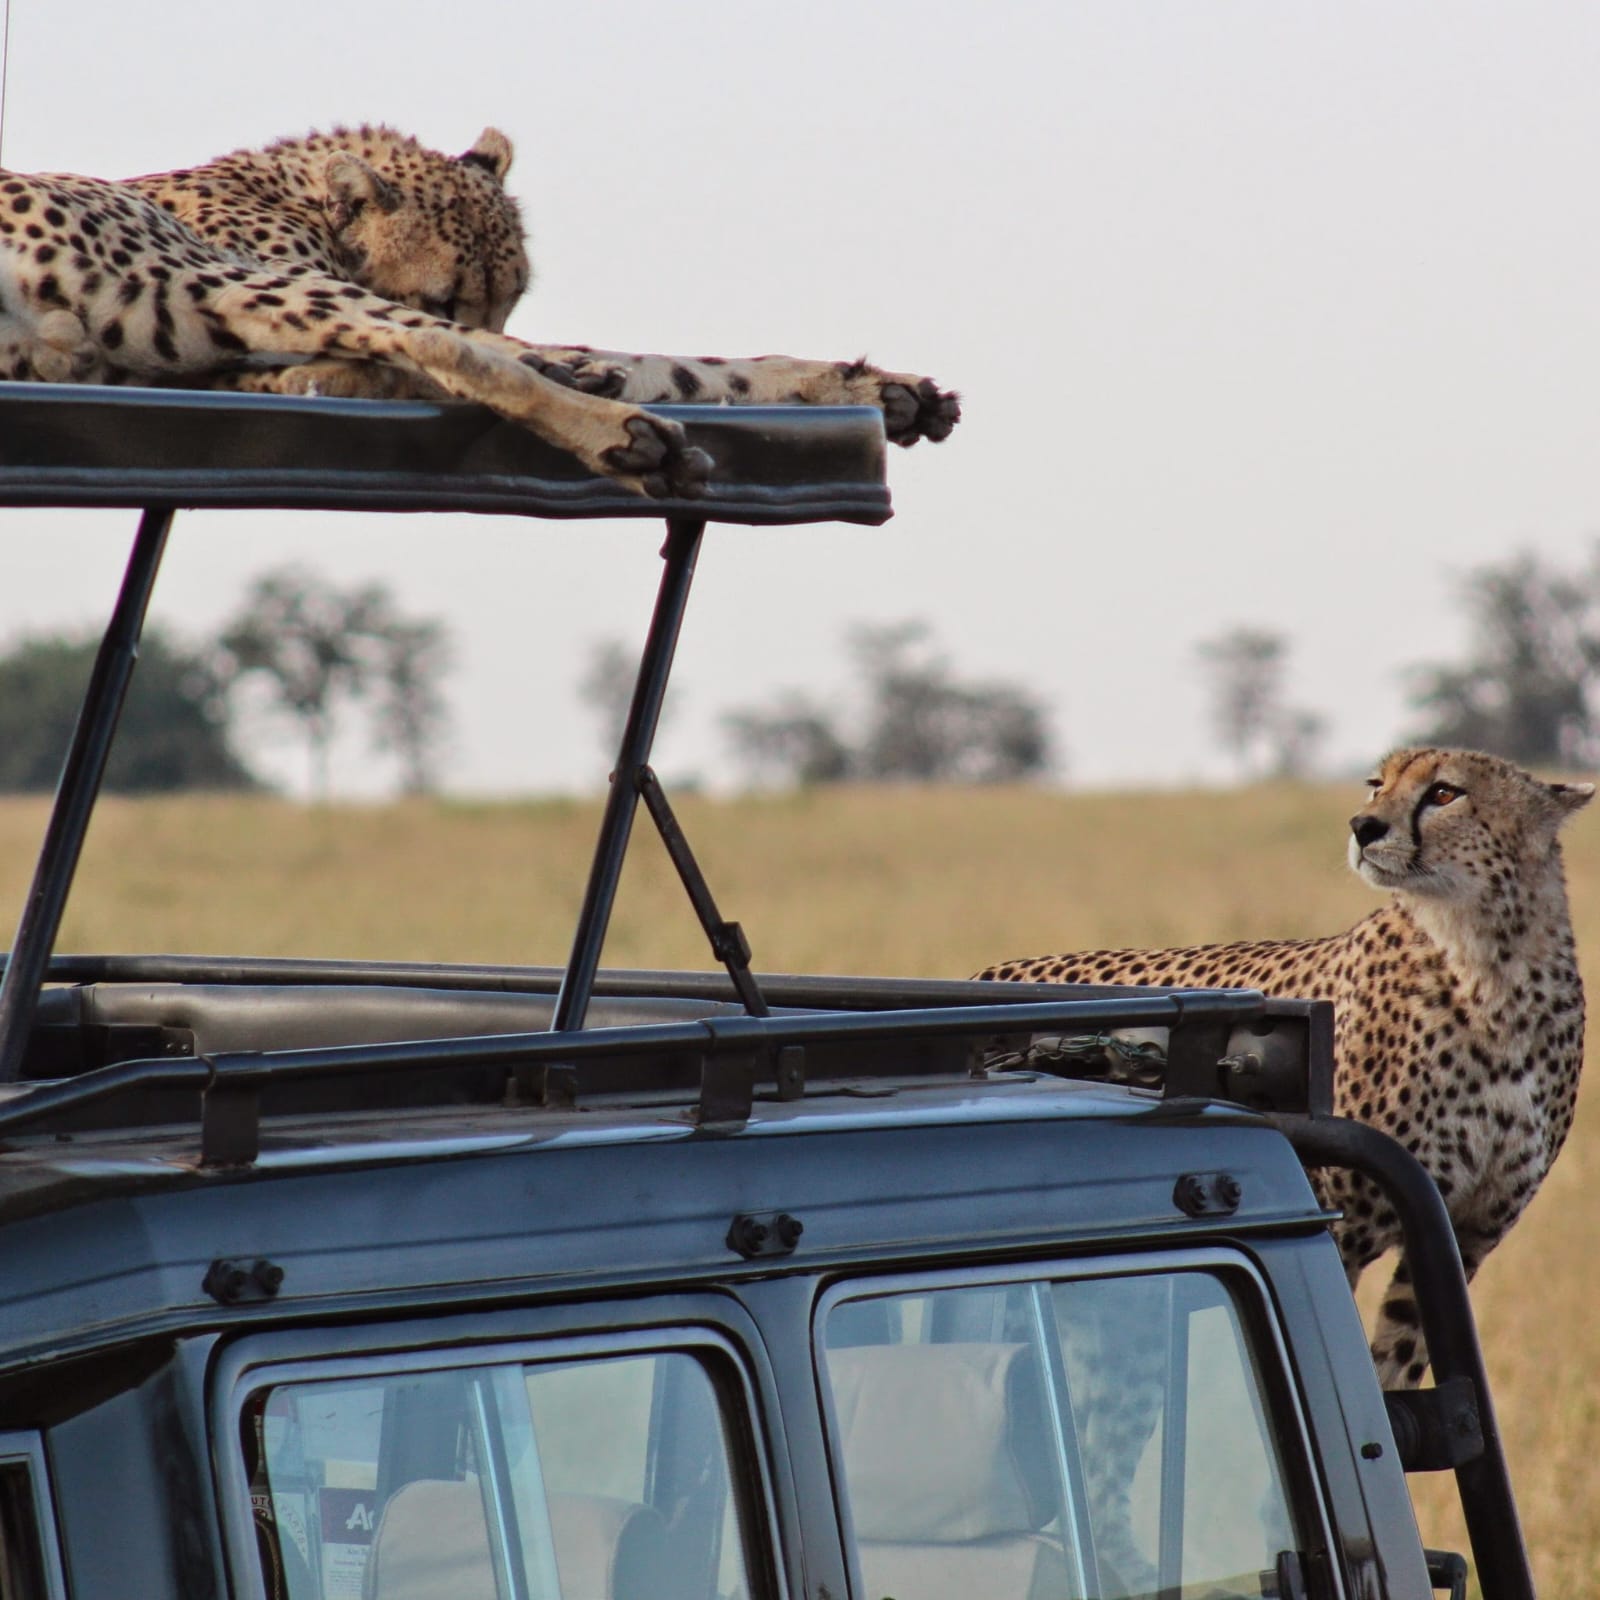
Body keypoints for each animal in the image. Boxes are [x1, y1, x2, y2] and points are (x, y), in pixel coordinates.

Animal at [0, 125, 960, 498]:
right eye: (448, 290)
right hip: (199, 283)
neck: (300, 192)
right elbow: (471, 347)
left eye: (513, 295)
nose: (502, 327)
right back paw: (622, 434)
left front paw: (874, 387)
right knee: (447, 360)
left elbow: (679, 362)